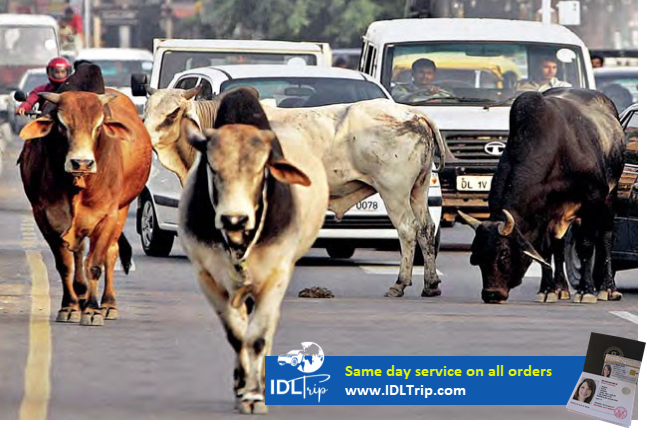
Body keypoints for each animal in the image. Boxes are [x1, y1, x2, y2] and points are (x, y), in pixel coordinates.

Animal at [19, 90, 152, 326]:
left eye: (98, 126)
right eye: (62, 125)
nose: (81, 163)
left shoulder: (107, 216)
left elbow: (95, 264)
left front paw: (92, 309)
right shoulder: (44, 217)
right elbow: (65, 264)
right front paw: (69, 306)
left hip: (122, 209)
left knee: (111, 252)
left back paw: (107, 304)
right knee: (79, 252)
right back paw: (80, 296)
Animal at [458, 89, 624, 306]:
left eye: (504, 253)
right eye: (476, 256)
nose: (491, 294)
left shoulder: (593, 200)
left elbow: (586, 246)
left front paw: (586, 291)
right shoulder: (544, 213)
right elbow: (545, 251)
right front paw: (547, 290)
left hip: (610, 198)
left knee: (605, 238)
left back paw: (608, 289)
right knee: (559, 246)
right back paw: (561, 288)